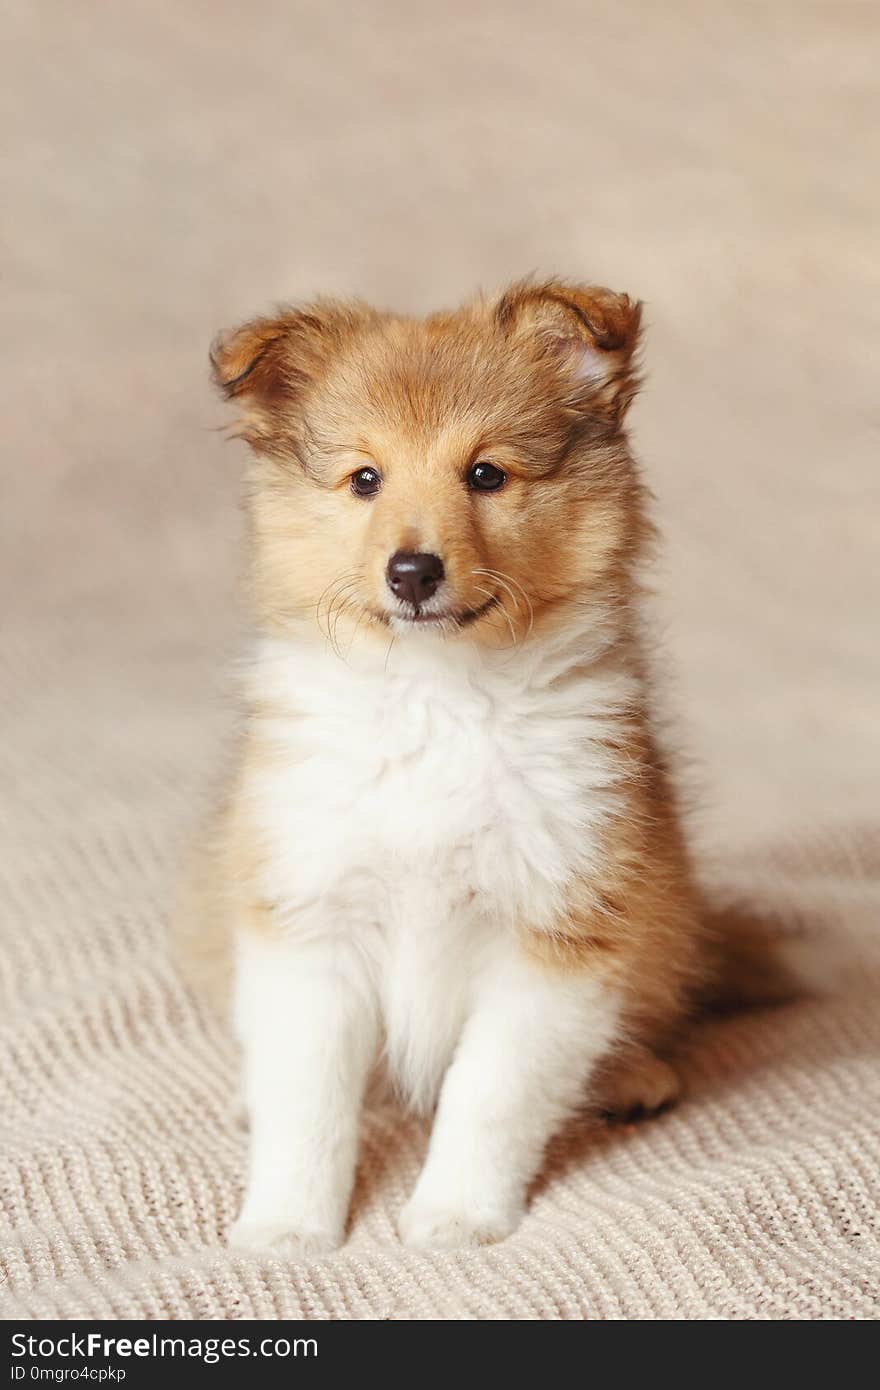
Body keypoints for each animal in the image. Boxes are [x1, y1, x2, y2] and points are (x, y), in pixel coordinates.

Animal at [176, 276, 711, 1256]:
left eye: (486, 475)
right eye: (365, 479)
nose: (413, 572)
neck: (439, 701)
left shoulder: (558, 929)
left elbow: (489, 1092)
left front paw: (456, 1215)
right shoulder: (308, 915)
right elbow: (308, 1100)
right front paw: (286, 1227)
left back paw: (631, 1075)